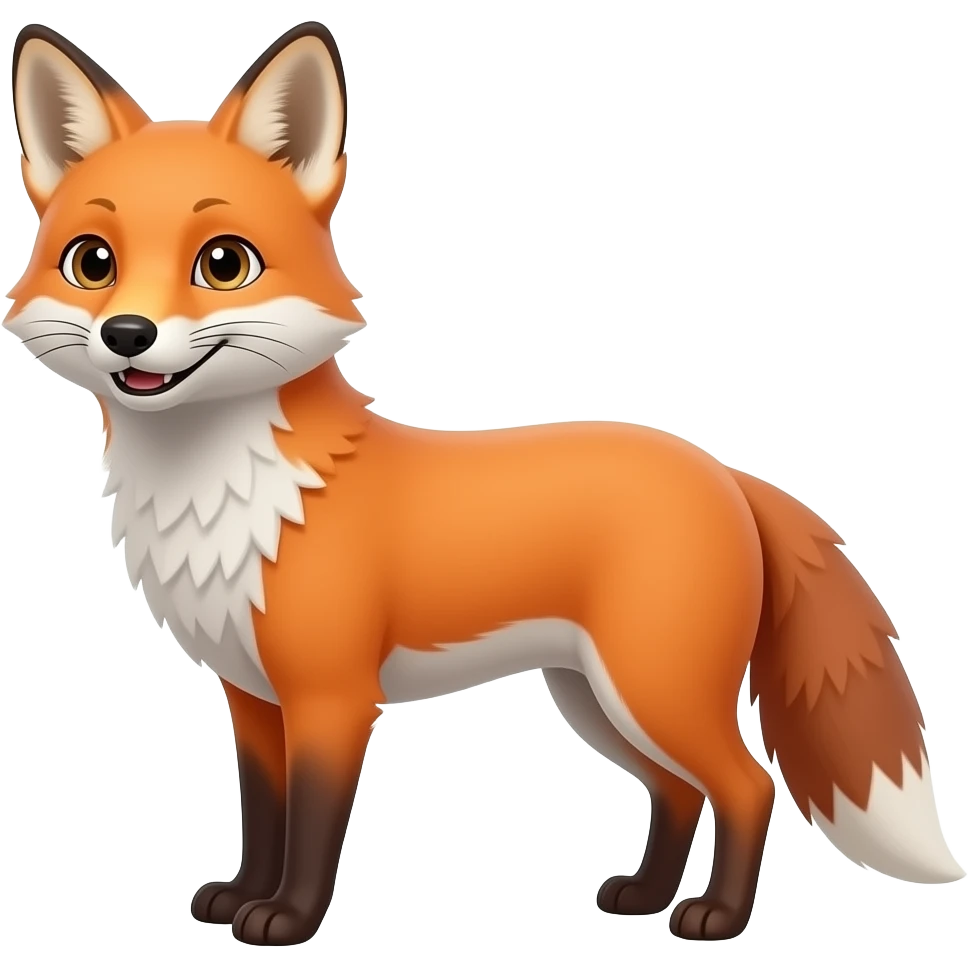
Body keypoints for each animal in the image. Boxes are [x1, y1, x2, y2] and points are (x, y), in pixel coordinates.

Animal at [5, 19, 964, 948]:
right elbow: (265, 815)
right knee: (681, 791)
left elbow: (312, 825)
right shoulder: (252, 699)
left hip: (653, 689)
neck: (226, 497)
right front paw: (242, 894)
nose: (128, 334)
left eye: (223, 263)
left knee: (749, 784)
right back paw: (645, 897)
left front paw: (285, 921)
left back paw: (715, 920)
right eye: (92, 262)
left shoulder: (332, 697)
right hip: (598, 699)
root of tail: (725, 471)